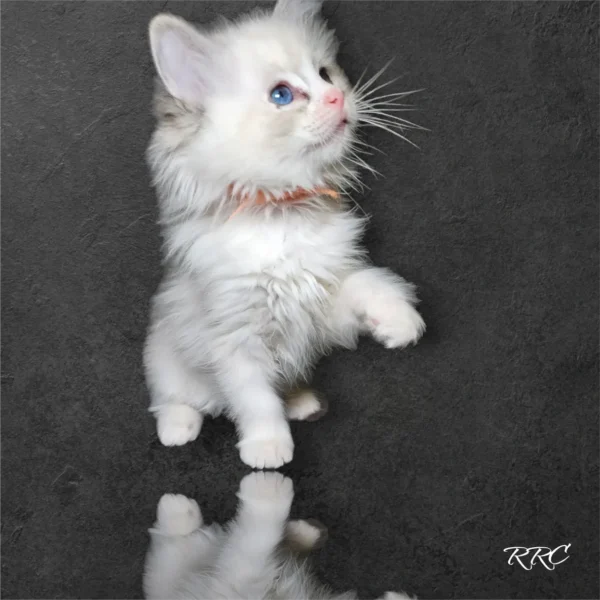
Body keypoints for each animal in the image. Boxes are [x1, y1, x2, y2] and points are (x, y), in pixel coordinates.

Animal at [144, 0, 426, 468]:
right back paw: (177, 430)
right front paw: (267, 450)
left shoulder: (322, 300)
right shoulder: (235, 338)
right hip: (166, 358)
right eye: (282, 95)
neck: (281, 214)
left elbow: (370, 283)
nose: (337, 97)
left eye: (327, 74)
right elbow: (256, 401)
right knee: (172, 398)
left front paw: (399, 323)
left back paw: (303, 403)